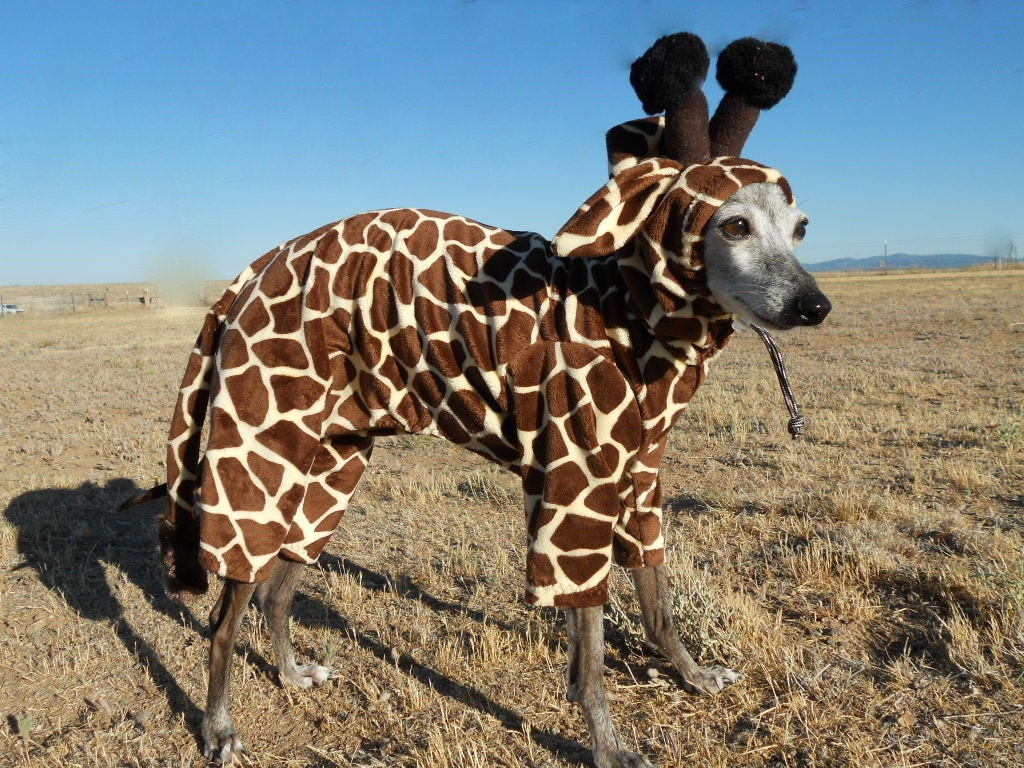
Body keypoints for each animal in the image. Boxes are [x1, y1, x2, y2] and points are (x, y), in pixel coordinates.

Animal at [154, 32, 831, 768]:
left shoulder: (638, 482)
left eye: (800, 228)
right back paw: (218, 725)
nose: (815, 306)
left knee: (278, 588)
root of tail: (253, 273)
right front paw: (606, 743)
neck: (626, 308)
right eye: (733, 226)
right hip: (262, 461)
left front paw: (689, 674)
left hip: (332, 464)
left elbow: (657, 602)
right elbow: (590, 653)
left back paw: (289, 672)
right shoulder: (574, 492)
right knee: (225, 615)